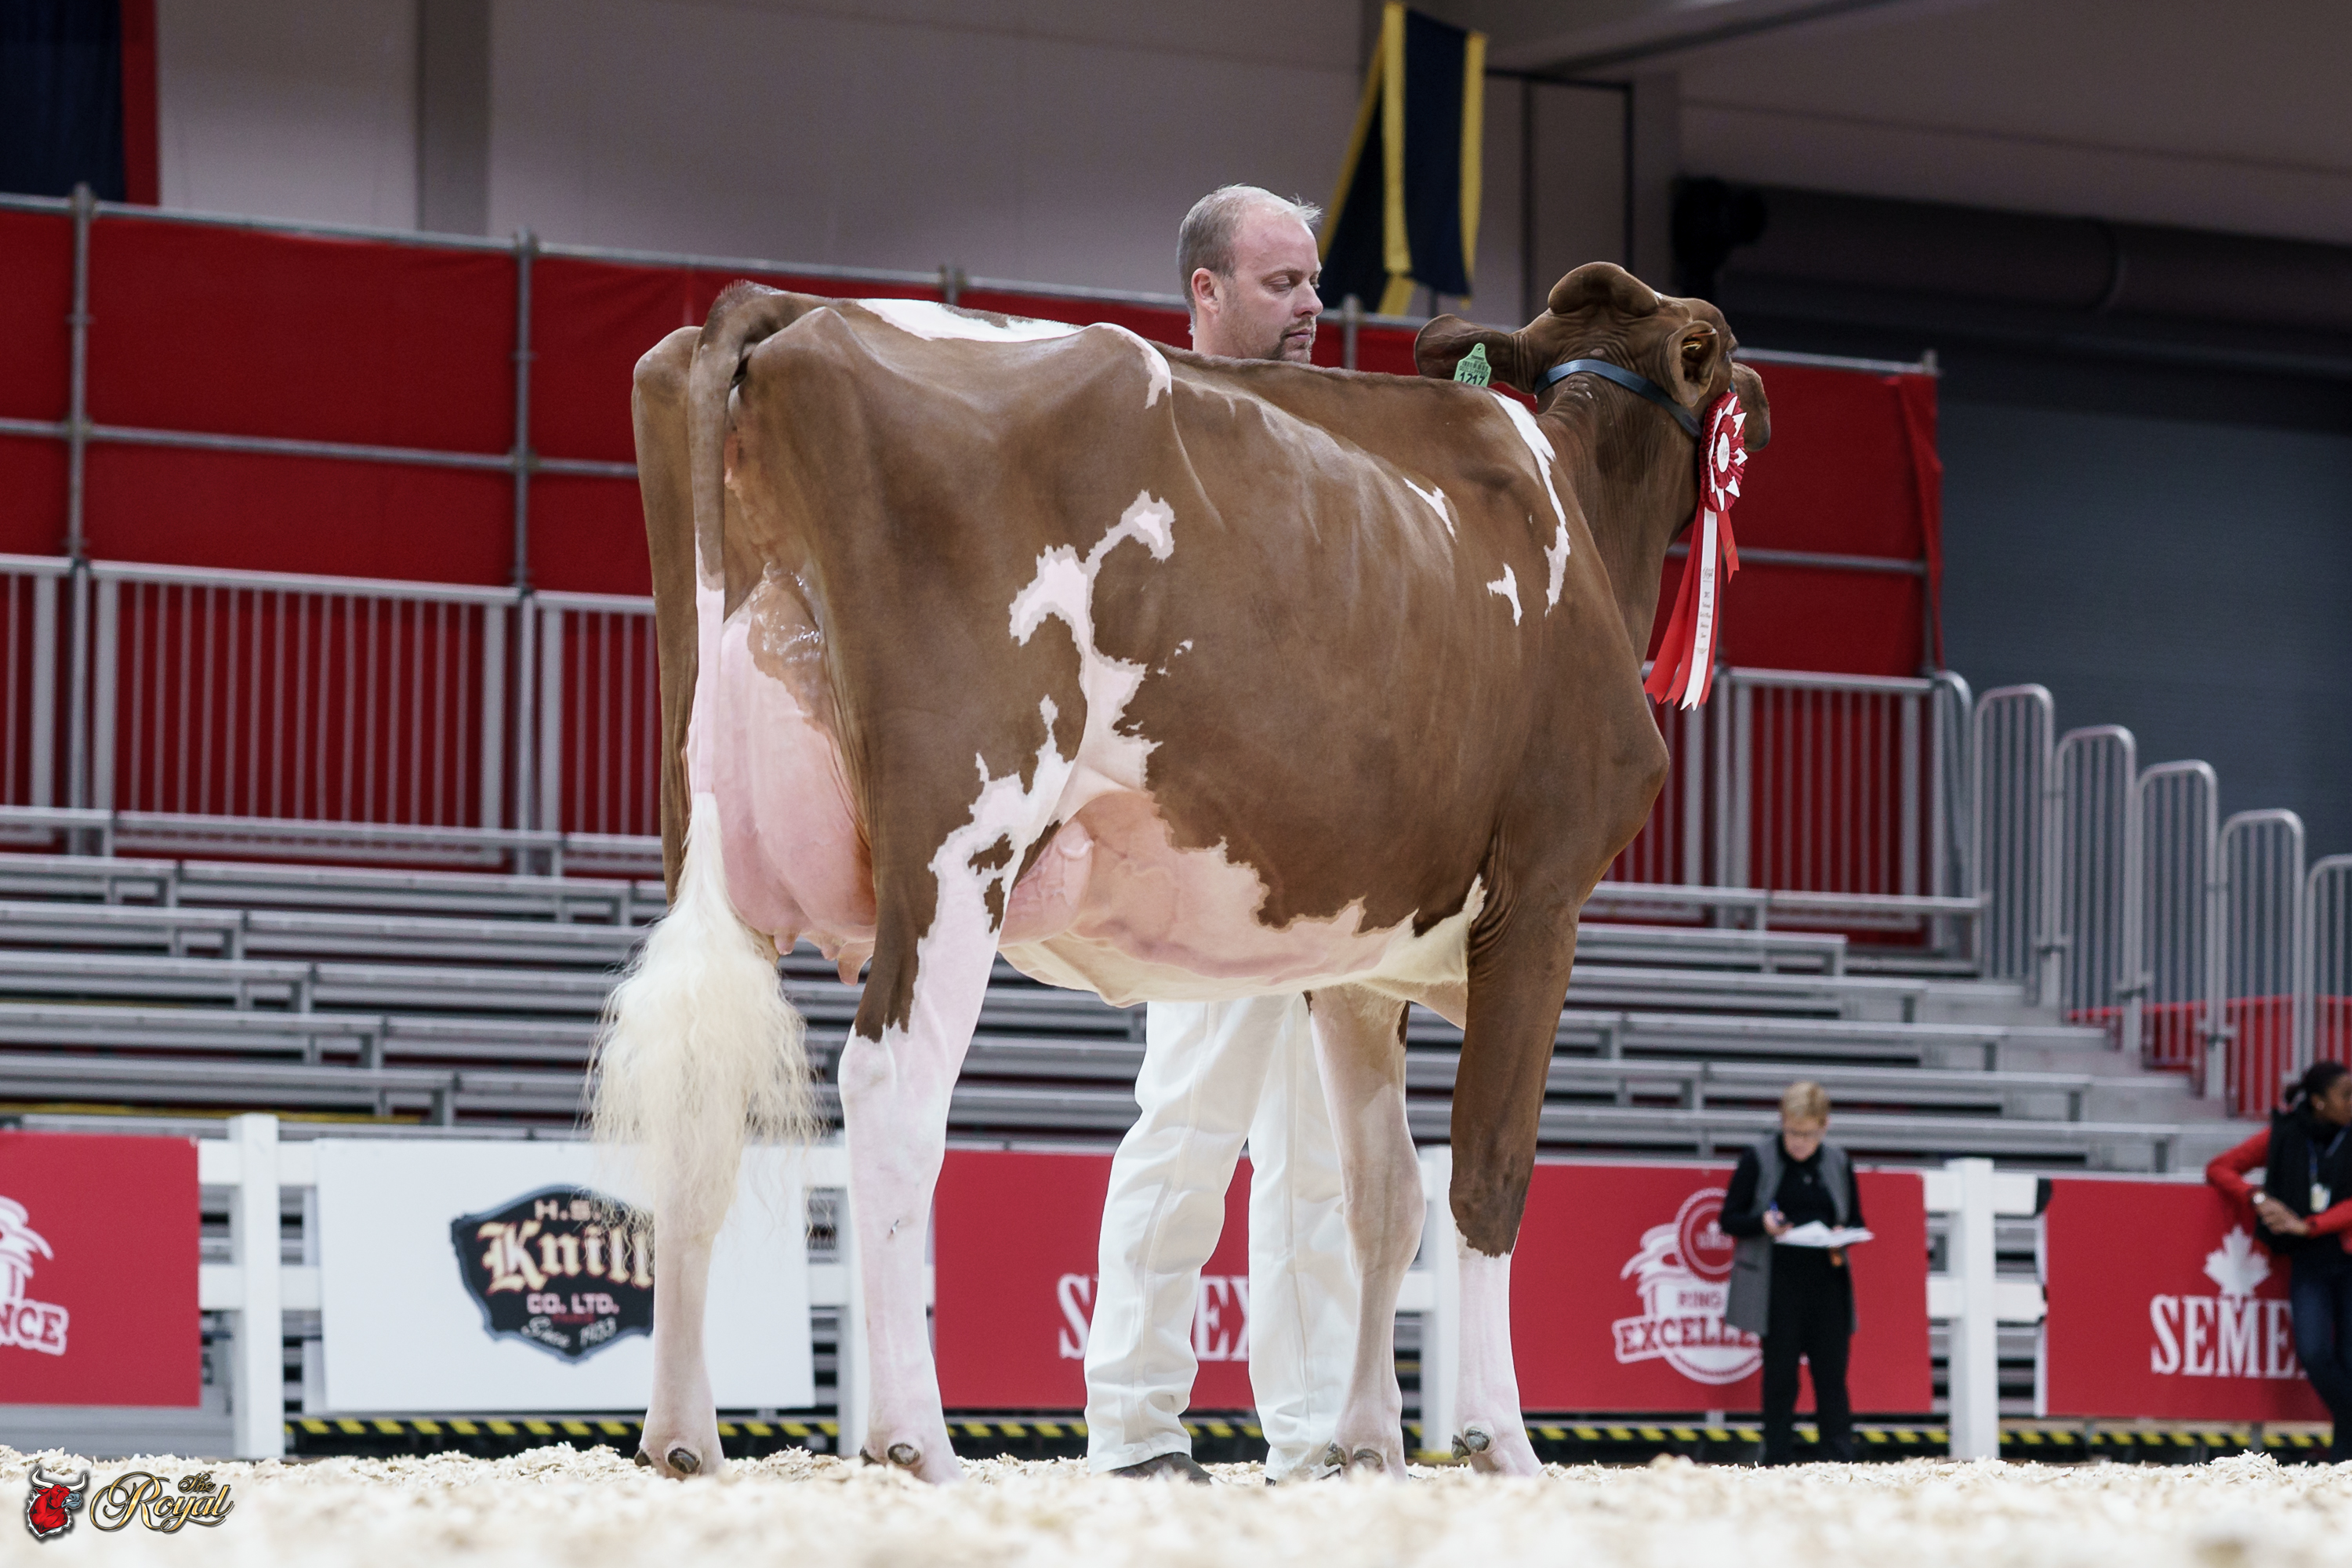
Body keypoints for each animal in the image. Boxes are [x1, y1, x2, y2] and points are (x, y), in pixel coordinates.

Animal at [595, 260, 1769, 1483]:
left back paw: (682, 1437)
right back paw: (916, 1438)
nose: (1768, 405)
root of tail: (795, 309)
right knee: (892, 1087)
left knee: (695, 1085)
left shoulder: (1361, 967)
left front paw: (1368, 1445)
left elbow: (1382, 1196)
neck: (1578, 524)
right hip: (966, 836)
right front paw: (1501, 1441)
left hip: (711, 830)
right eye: (1715, 344)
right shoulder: (1540, 903)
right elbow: (1484, 1176)